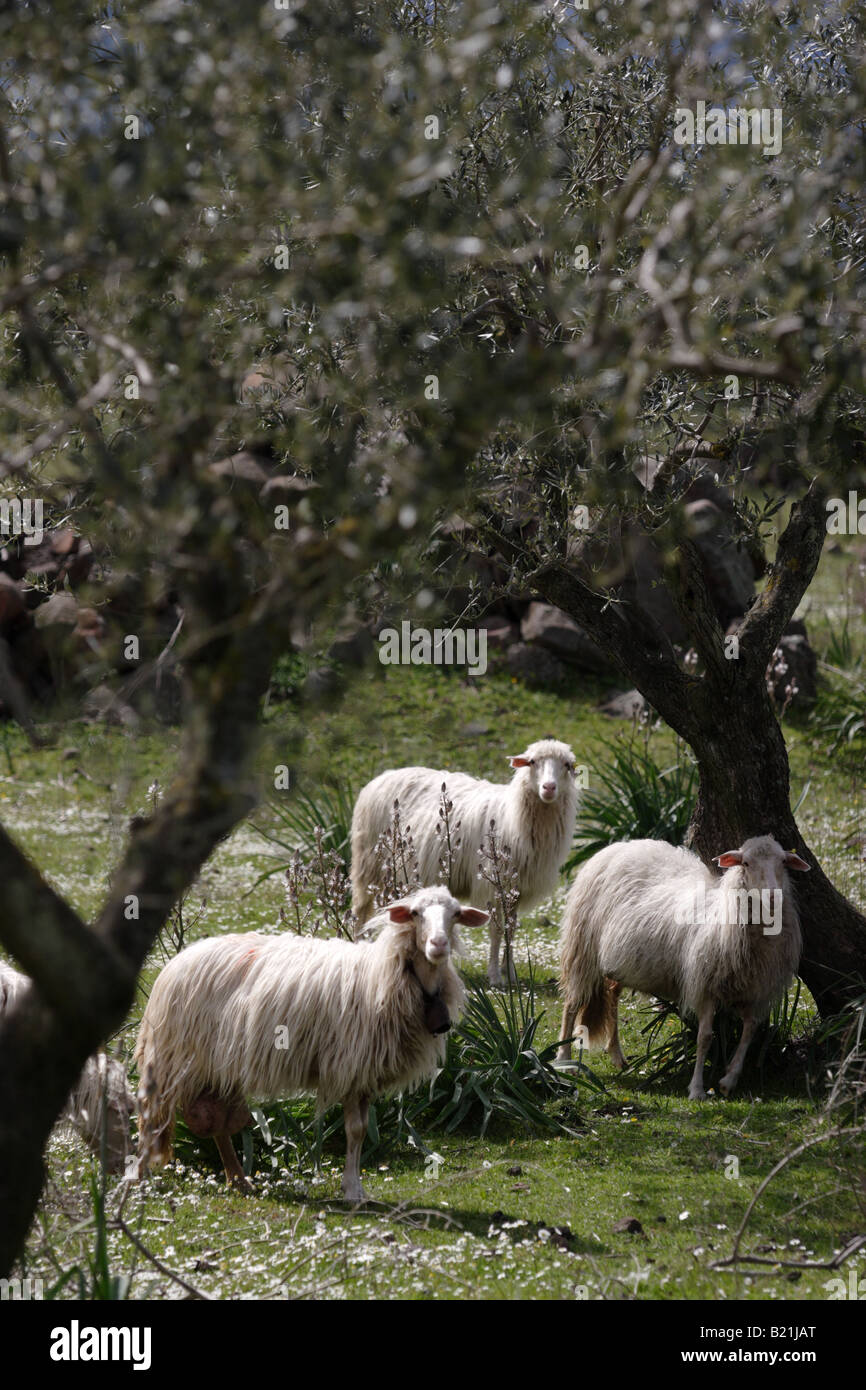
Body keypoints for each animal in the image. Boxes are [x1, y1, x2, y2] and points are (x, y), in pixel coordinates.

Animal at [134, 886, 488, 1201]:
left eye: (456, 914)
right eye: (415, 914)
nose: (439, 944)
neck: (387, 974)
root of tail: (178, 960)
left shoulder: (365, 1074)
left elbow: (361, 1130)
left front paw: (356, 1189)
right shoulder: (350, 1066)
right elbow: (355, 1130)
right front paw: (353, 1191)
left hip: (216, 1067)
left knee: (219, 1124)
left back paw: (239, 1181)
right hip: (173, 1056)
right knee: (151, 1115)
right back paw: (141, 1179)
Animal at [350, 738, 580, 986]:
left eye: (566, 765)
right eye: (532, 762)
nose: (549, 788)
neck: (513, 815)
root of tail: (380, 777)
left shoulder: (516, 889)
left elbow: (510, 929)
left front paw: (510, 973)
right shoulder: (492, 885)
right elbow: (495, 931)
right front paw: (495, 977)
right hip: (368, 863)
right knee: (359, 910)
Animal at [557, 836, 809, 1099]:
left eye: (783, 862)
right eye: (746, 863)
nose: (773, 896)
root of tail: (618, 846)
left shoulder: (756, 991)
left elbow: (749, 1033)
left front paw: (729, 1080)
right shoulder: (704, 987)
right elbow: (705, 1038)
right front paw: (696, 1089)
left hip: (618, 962)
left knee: (612, 994)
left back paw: (616, 1054)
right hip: (582, 948)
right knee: (572, 1003)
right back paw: (564, 1060)